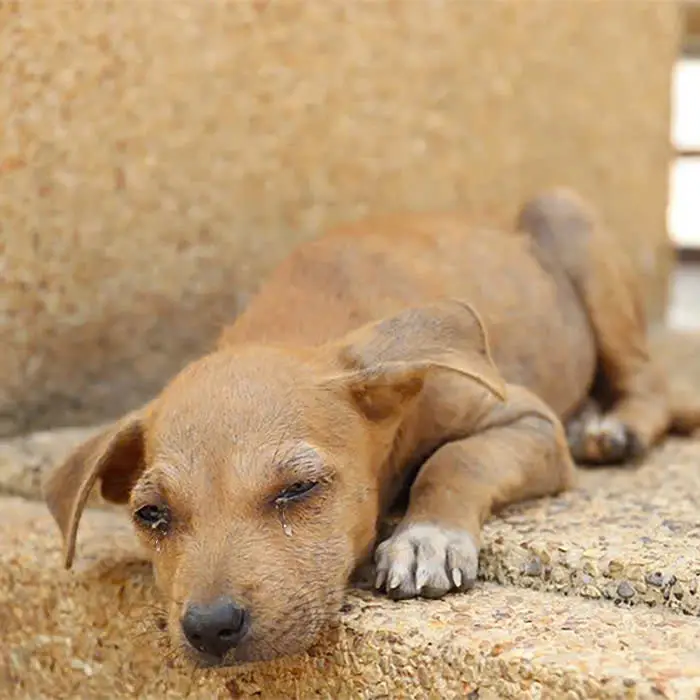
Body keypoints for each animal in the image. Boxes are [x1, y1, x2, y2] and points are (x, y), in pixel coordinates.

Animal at [43, 187, 700, 668]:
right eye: (150, 514)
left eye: (299, 489)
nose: (210, 628)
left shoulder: (528, 420)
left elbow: (455, 459)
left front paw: (426, 537)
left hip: (566, 217)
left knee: (648, 383)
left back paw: (613, 426)